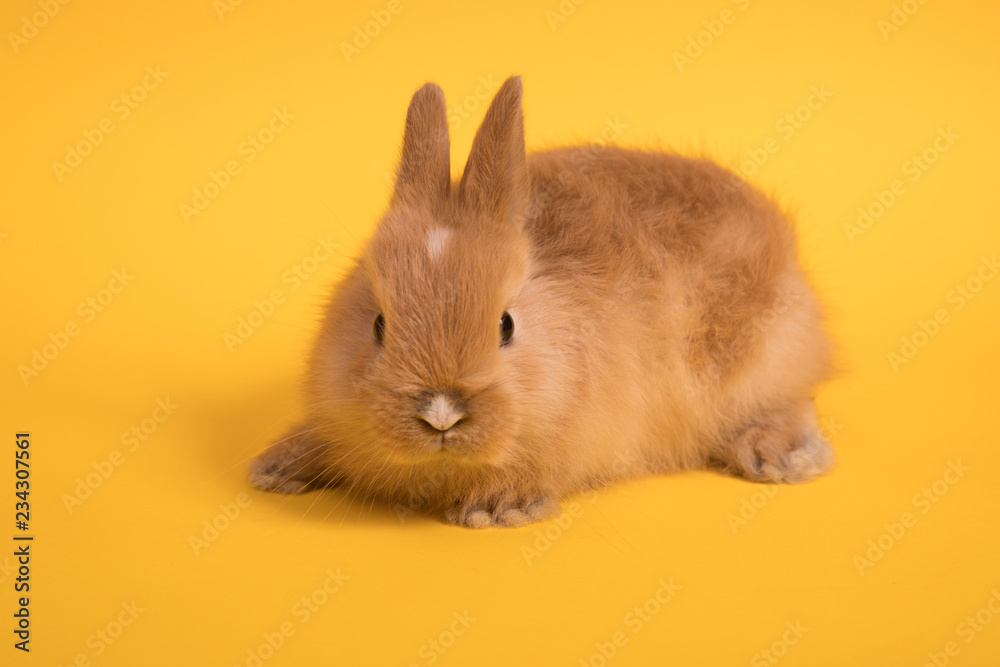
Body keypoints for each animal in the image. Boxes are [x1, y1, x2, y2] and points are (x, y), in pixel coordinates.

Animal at [248, 75, 835, 528]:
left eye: (506, 325)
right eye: (378, 325)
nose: (441, 415)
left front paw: (495, 509)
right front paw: (277, 466)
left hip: (760, 359)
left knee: (790, 400)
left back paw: (778, 456)